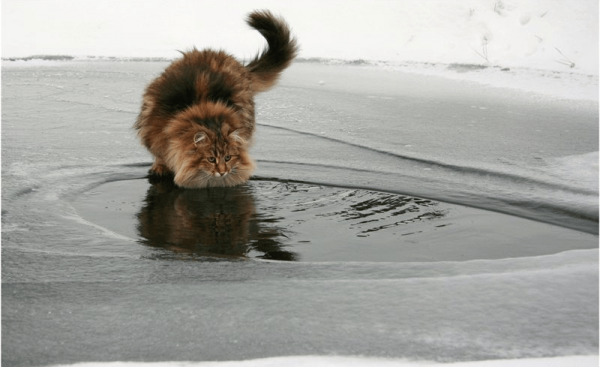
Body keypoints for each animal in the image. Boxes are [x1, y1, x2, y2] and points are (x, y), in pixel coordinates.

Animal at [134, 10, 298, 188]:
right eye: (211, 159)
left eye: (228, 157)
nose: (222, 171)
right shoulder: (154, 132)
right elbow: (161, 153)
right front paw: (161, 166)